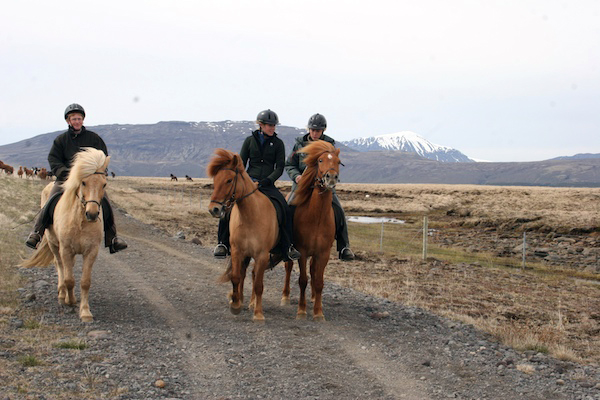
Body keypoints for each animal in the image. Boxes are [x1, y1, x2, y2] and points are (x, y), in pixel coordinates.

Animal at [20, 148, 110, 324]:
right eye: (83, 182)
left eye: (104, 184)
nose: (92, 214)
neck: (80, 221)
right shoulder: (66, 249)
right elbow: (69, 279)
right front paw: (70, 300)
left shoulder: (91, 251)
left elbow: (85, 282)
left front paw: (85, 312)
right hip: (54, 245)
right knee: (59, 265)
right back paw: (62, 295)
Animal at [209, 148, 278, 320]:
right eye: (215, 180)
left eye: (228, 180)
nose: (214, 209)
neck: (250, 216)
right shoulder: (237, 250)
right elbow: (236, 277)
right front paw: (235, 304)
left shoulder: (262, 255)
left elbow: (259, 284)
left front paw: (258, 314)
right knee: (244, 274)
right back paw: (240, 299)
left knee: (254, 275)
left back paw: (253, 303)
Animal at [282, 139, 342, 320]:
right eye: (320, 161)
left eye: (338, 162)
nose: (331, 178)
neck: (317, 218)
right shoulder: (301, 251)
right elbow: (303, 280)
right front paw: (301, 310)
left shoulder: (323, 253)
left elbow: (319, 281)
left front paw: (318, 312)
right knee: (288, 268)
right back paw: (285, 297)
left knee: (314, 271)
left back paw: (314, 297)